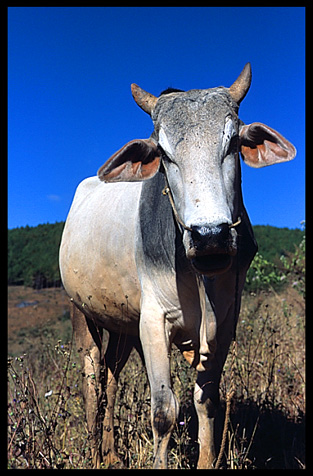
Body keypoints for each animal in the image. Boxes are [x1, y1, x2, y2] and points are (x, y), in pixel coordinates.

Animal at [59, 63, 294, 468]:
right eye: (164, 154)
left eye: (233, 143)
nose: (210, 237)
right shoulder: (154, 321)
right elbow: (163, 411)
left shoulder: (225, 322)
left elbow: (206, 401)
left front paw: (206, 459)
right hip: (82, 314)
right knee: (92, 380)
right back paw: (94, 453)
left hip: (122, 326)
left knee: (112, 377)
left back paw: (113, 454)